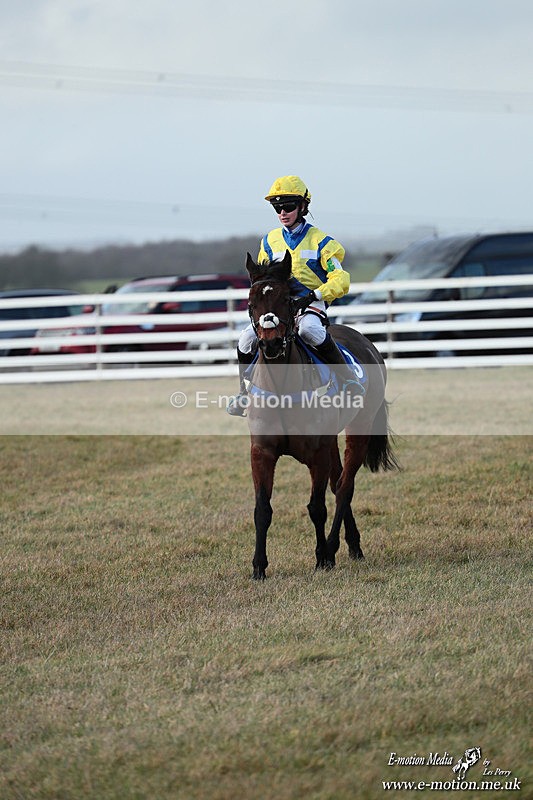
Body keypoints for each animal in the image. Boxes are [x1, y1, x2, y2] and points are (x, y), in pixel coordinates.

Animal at [243, 250, 398, 580]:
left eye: (286, 299)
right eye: (251, 302)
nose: (271, 343)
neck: (283, 389)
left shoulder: (316, 453)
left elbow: (317, 507)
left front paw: (322, 557)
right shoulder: (261, 451)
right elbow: (262, 509)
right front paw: (259, 566)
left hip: (359, 429)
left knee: (344, 488)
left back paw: (334, 547)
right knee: (338, 482)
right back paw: (352, 546)